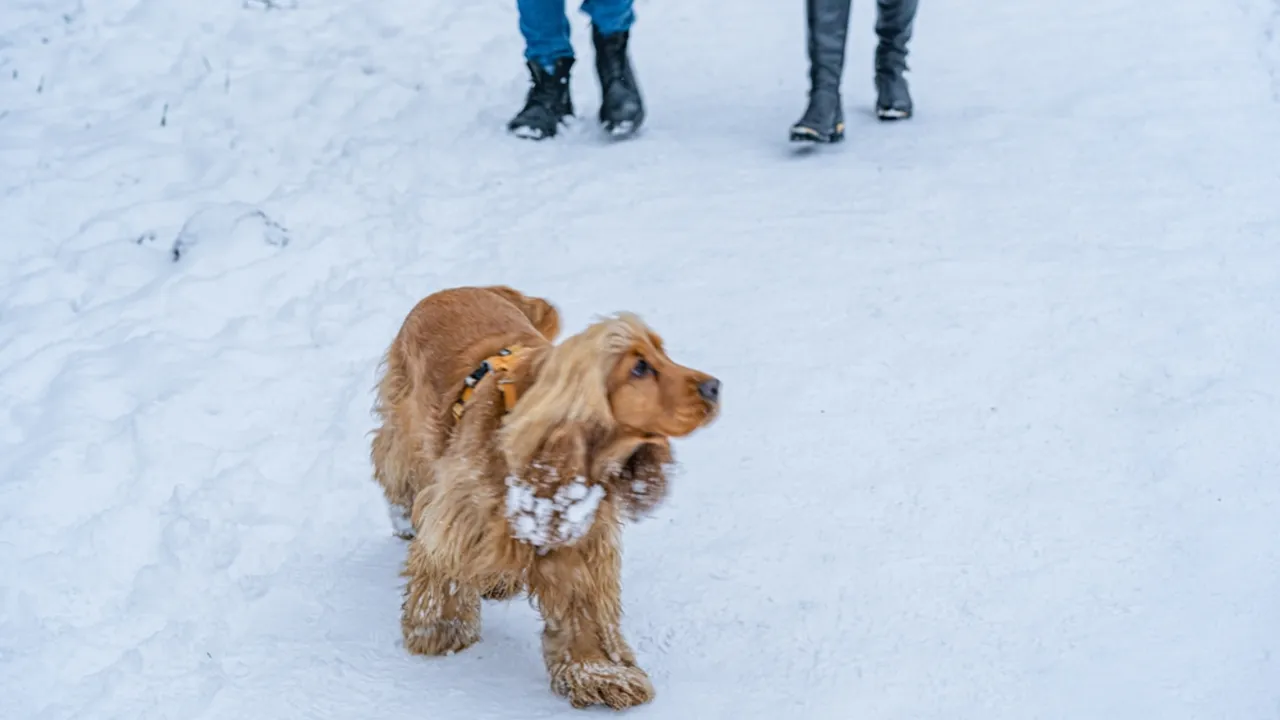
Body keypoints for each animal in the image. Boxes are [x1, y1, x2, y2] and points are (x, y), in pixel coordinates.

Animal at [368, 284, 721, 707]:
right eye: (638, 368)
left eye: (662, 354)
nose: (715, 386)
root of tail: (461, 288)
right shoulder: (459, 517)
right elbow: (441, 570)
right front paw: (438, 630)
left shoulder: (580, 539)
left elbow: (584, 609)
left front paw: (599, 672)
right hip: (406, 430)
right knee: (395, 469)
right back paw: (405, 521)